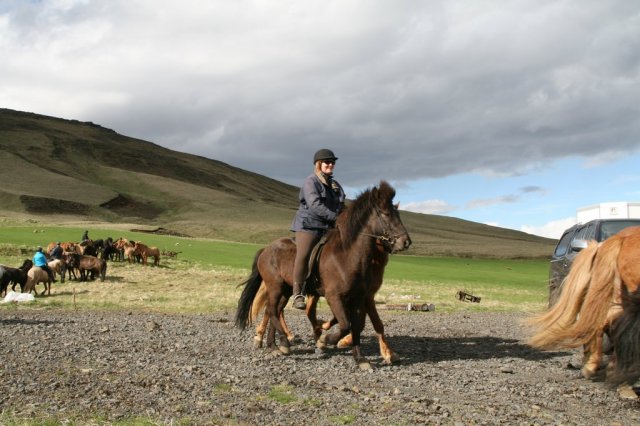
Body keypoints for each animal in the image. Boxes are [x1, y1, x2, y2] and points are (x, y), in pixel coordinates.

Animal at [235, 181, 410, 368]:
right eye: (386, 214)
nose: (406, 242)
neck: (347, 255)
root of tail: (266, 249)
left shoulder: (358, 298)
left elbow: (357, 325)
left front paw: (360, 358)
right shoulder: (335, 297)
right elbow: (345, 324)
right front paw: (326, 340)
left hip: (286, 290)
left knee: (274, 310)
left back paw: (275, 345)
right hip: (275, 286)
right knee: (273, 310)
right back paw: (283, 341)